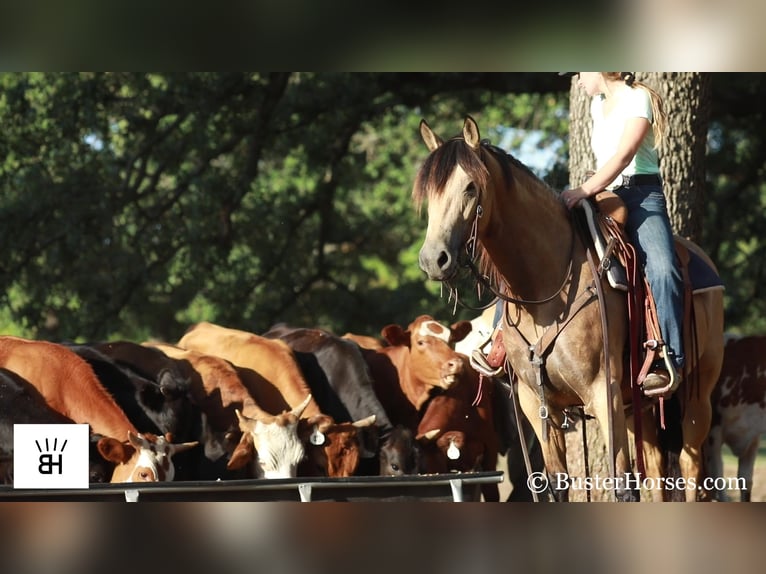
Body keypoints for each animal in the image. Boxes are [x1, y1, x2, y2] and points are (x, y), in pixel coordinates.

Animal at [414, 117, 728, 504]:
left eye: (471, 188)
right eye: (429, 192)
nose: (434, 259)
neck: (546, 291)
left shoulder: (603, 394)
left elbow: (623, 486)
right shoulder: (535, 403)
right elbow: (556, 485)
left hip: (697, 396)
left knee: (690, 466)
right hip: (641, 407)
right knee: (656, 472)